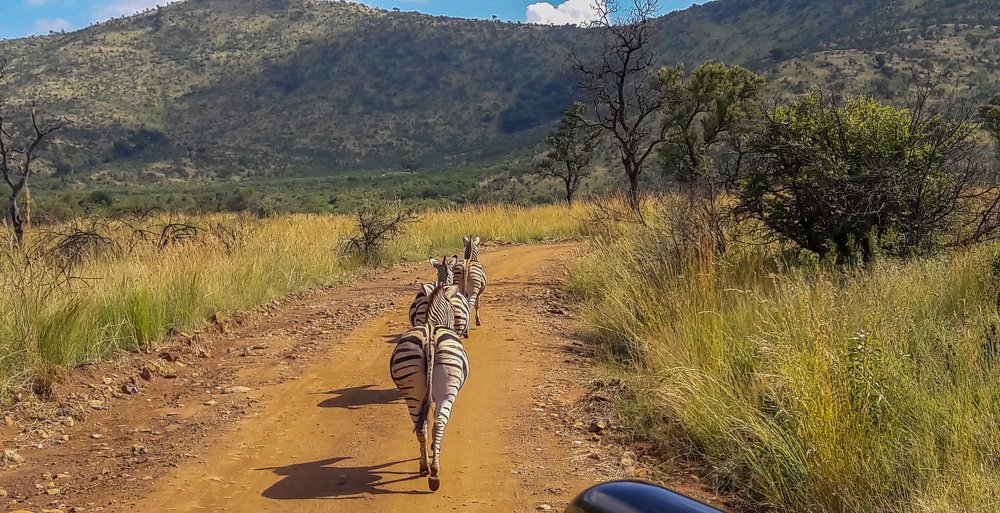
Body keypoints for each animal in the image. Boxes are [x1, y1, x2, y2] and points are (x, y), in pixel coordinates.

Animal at [390, 283, 470, 491]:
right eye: (453, 312)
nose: (460, 329)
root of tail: (430, 340)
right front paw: (436, 448)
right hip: (447, 391)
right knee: (439, 423)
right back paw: (434, 472)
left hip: (413, 392)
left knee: (421, 427)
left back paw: (425, 466)